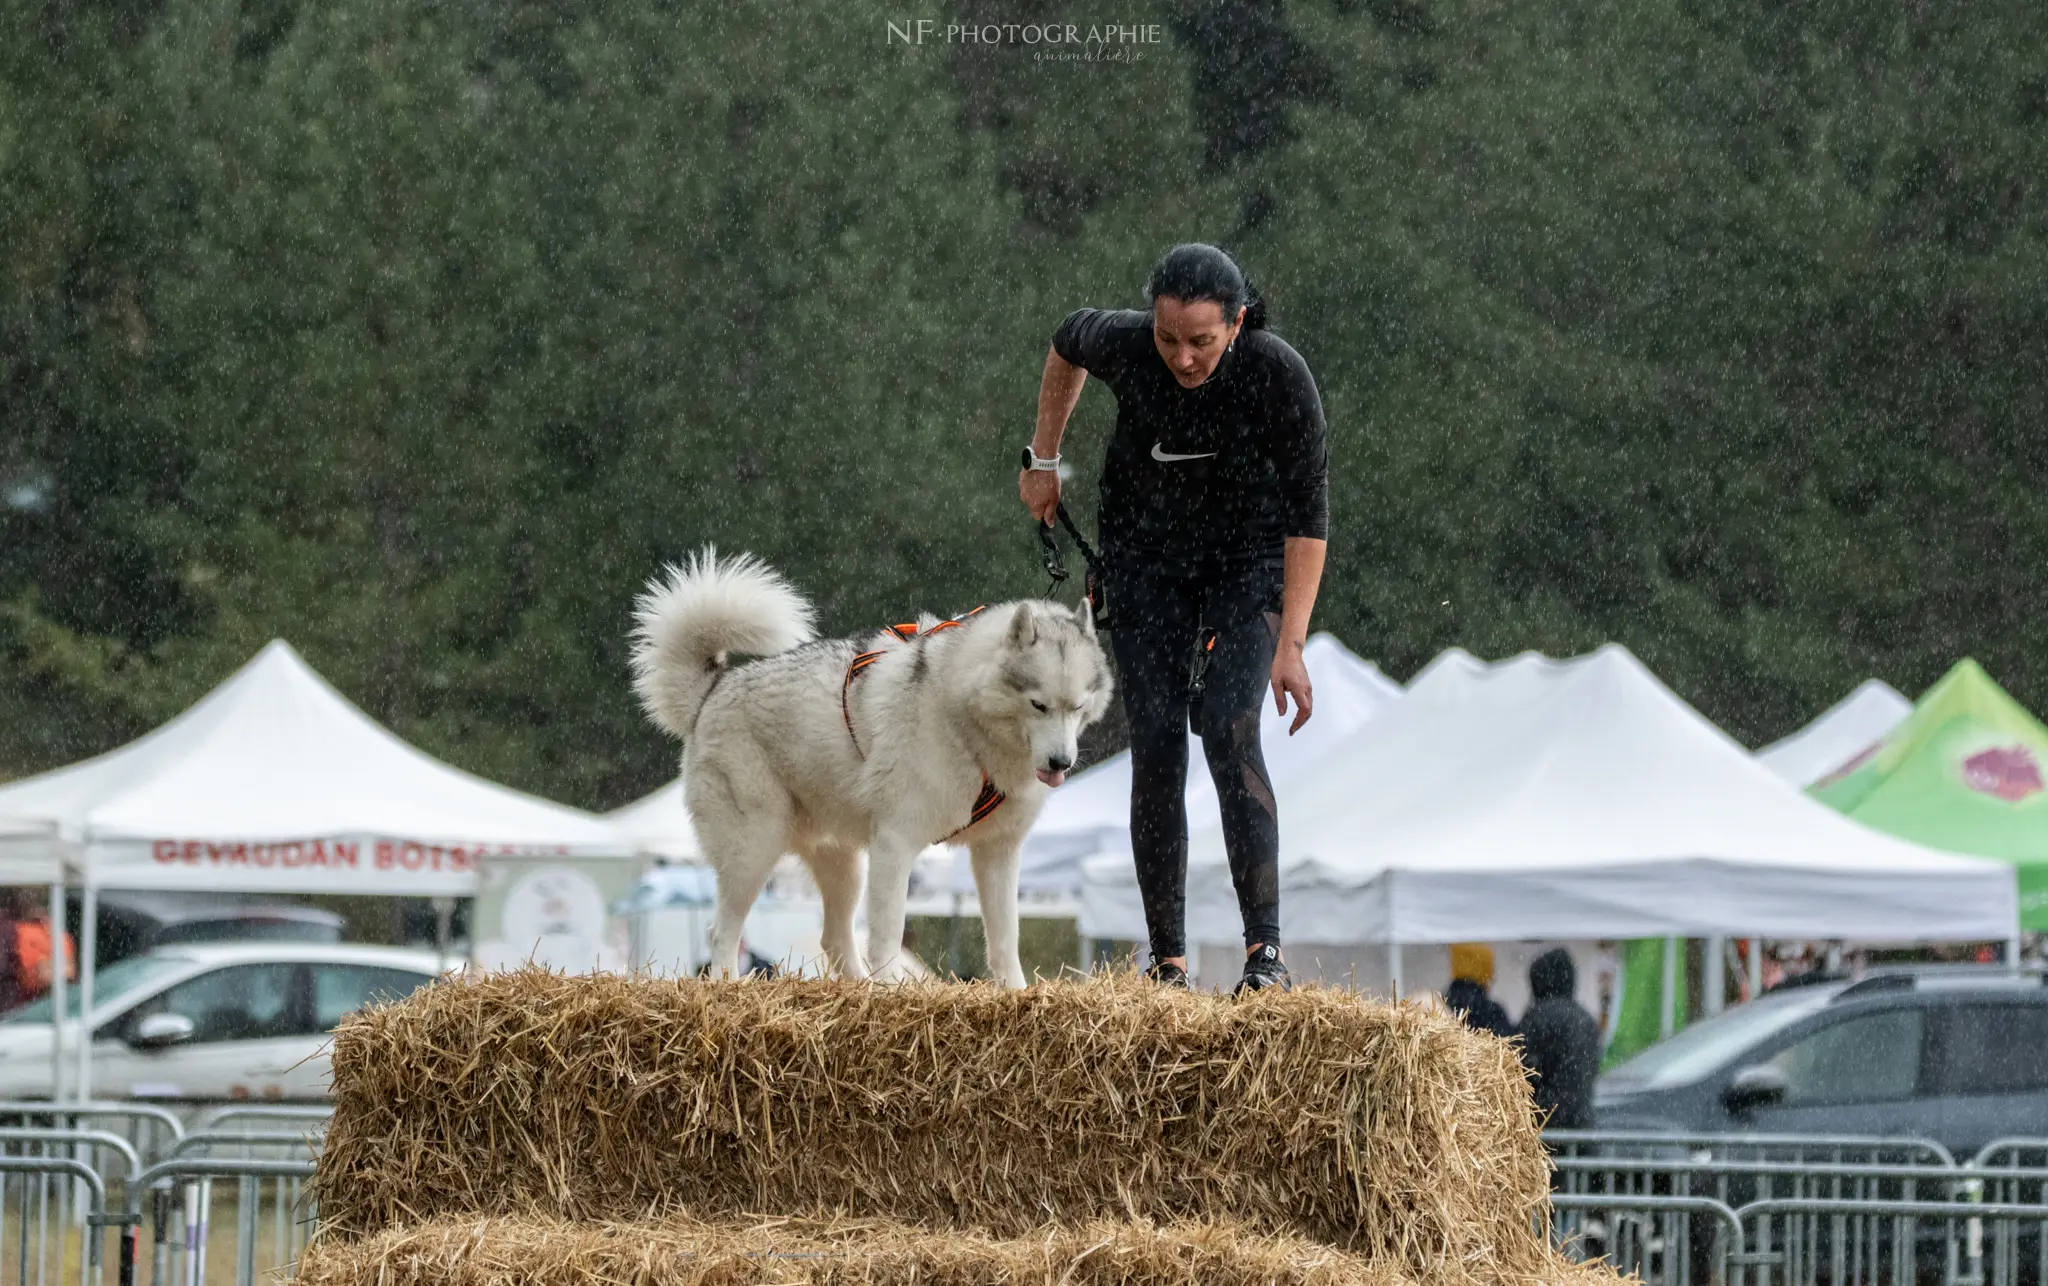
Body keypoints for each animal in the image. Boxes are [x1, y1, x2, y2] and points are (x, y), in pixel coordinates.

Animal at [630, 548, 1114, 982]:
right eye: (1038, 705)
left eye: (1077, 707)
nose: (1061, 762)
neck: (965, 721)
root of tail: (711, 691)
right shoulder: (896, 844)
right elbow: (887, 937)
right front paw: (891, 990)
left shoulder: (998, 853)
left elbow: (1004, 941)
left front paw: (1015, 993)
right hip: (754, 852)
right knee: (722, 933)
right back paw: (729, 987)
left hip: (843, 867)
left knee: (832, 938)